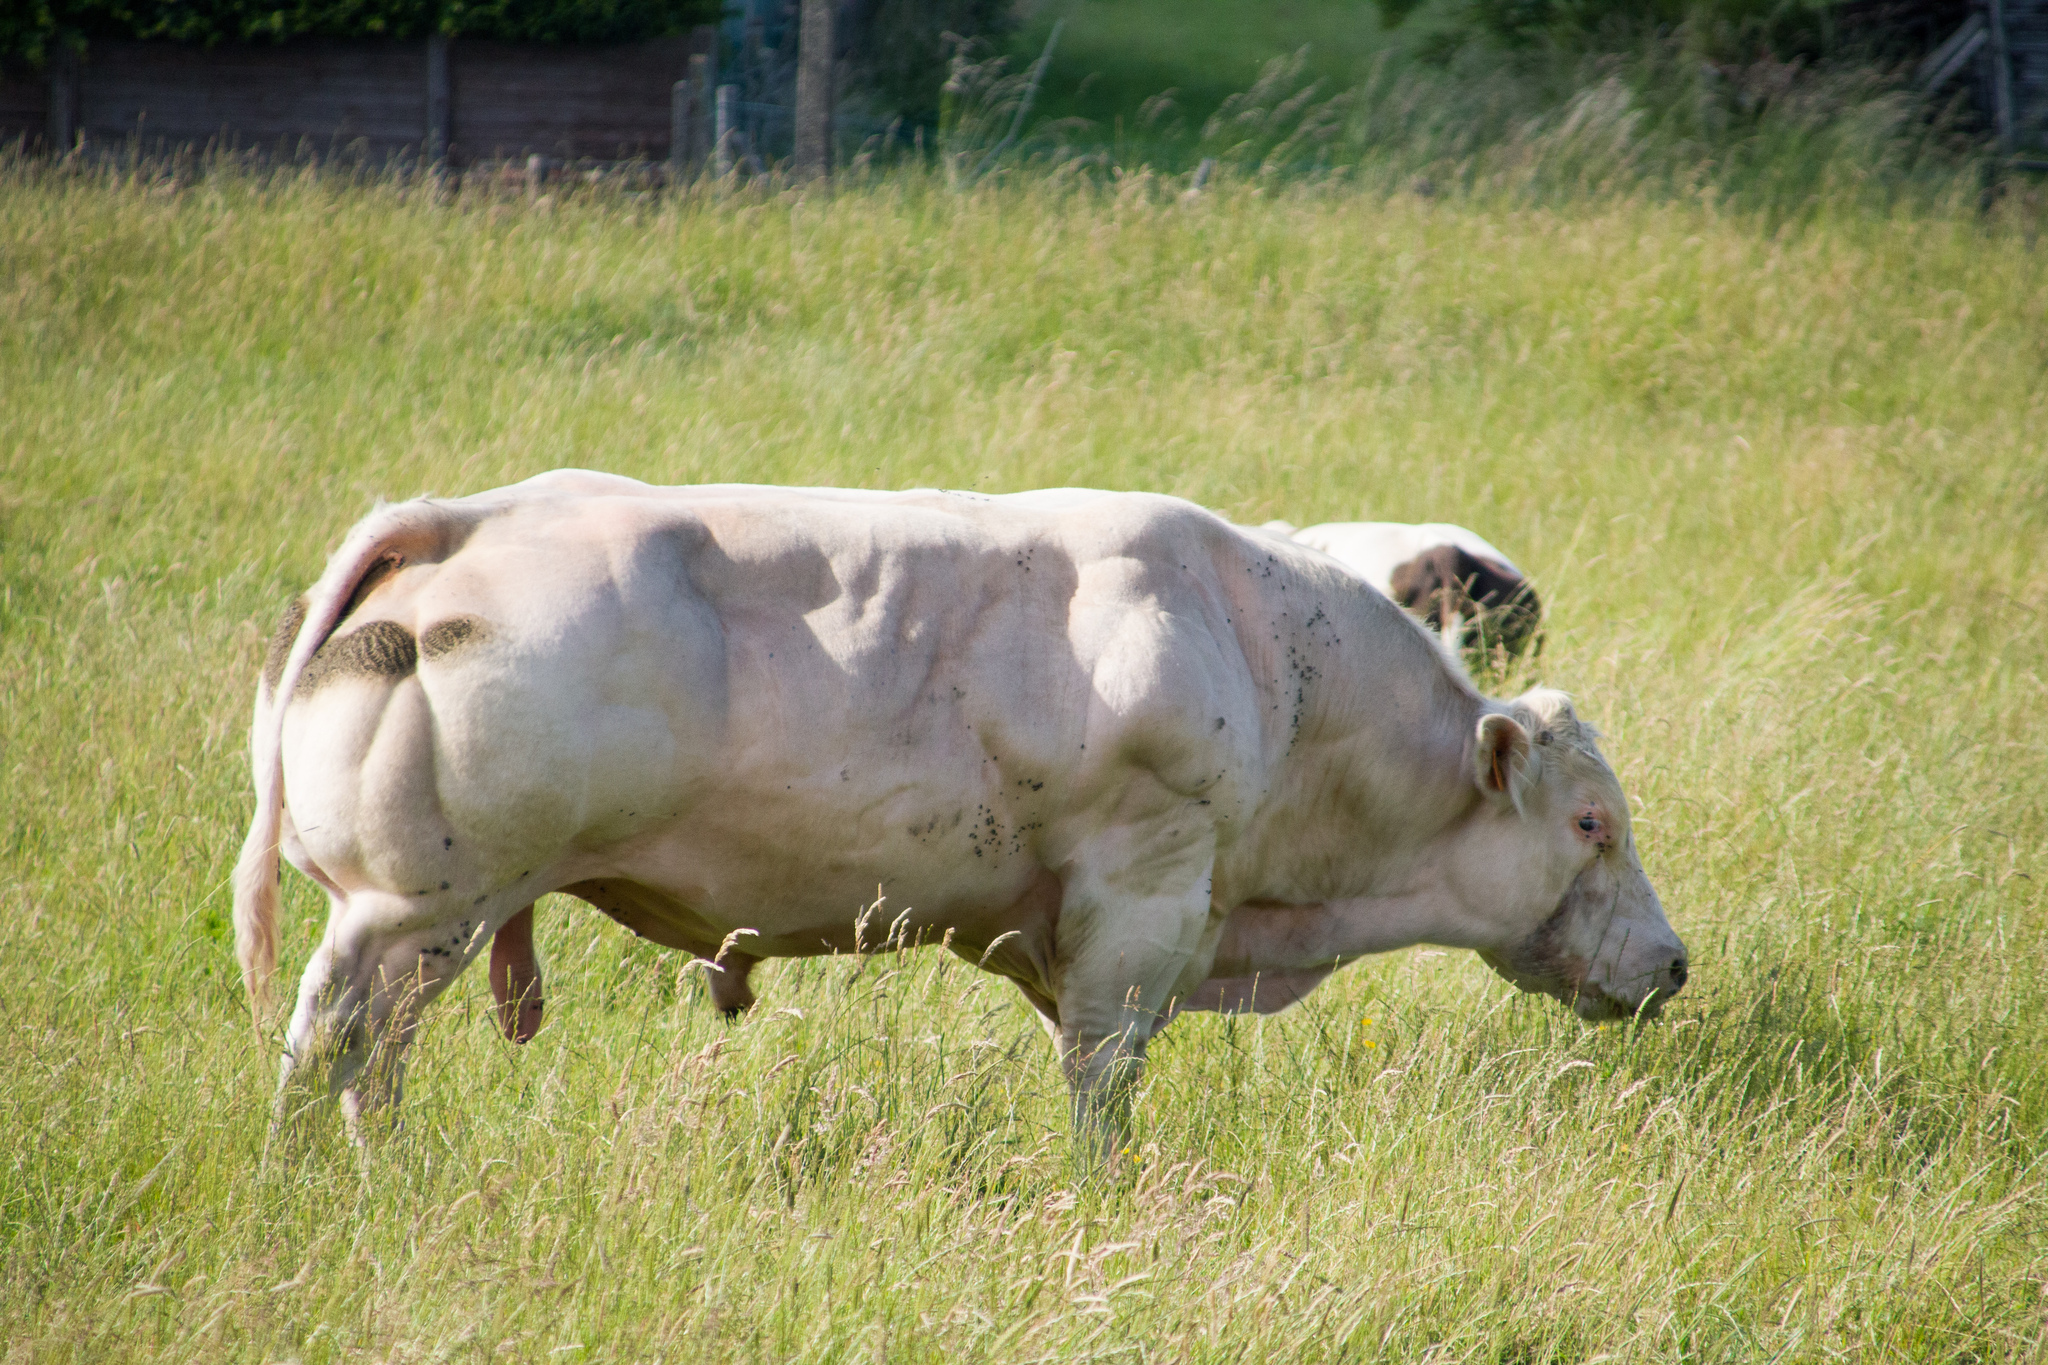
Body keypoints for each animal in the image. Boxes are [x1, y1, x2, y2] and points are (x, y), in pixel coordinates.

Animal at [235, 474, 1679, 1162]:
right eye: (1590, 826)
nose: (1672, 963)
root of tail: (462, 520)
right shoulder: (1141, 902)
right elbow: (1105, 1080)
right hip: (410, 914)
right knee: (331, 1053)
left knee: (369, 1065)